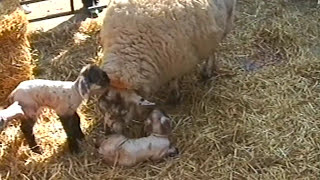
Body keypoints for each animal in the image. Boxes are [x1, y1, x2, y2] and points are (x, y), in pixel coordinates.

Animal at [99, 0, 236, 132]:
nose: (108, 131)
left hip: (225, 23)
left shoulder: (176, 61)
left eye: (124, 112)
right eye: (102, 107)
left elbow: (174, 80)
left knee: (213, 50)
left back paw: (207, 71)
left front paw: (174, 97)